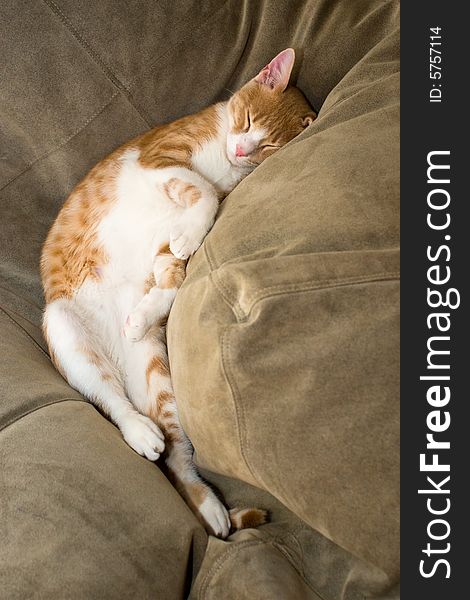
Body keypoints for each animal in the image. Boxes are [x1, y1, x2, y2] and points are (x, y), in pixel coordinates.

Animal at [39, 49, 316, 540]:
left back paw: (213, 511)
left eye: (268, 146)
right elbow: (202, 189)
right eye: (247, 120)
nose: (241, 150)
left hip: (159, 380)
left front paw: (151, 303)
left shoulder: (172, 235)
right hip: (66, 330)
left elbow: (175, 264)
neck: (224, 158)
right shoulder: (161, 159)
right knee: (109, 399)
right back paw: (138, 431)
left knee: (178, 460)